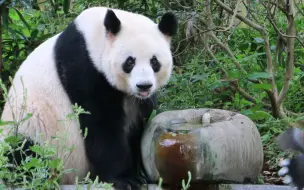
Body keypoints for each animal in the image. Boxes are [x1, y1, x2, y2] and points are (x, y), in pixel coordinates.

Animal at [0, 6, 177, 189]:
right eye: (130, 62)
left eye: (154, 62)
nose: (144, 86)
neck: (95, 38)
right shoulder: (82, 68)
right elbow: (101, 124)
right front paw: (125, 179)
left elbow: (139, 125)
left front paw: (138, 174)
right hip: (30, 129)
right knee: (24, 153)